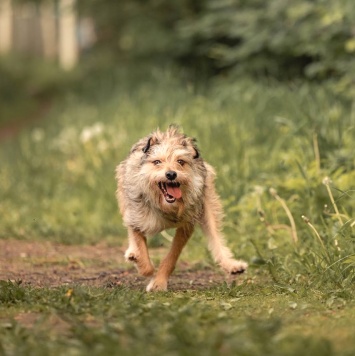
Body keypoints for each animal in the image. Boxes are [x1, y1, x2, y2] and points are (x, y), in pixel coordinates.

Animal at [117, 126, 248, 292]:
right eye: (157, 162)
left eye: (180, 161)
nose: (171, 174)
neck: (166, 206)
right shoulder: (136, 215)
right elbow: (138, 241)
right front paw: (143, 265)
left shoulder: (186, 225)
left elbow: (172, 256)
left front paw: (159, 282)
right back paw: (132, 254)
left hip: (207, 202)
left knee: (215, 235)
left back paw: (231, 264)